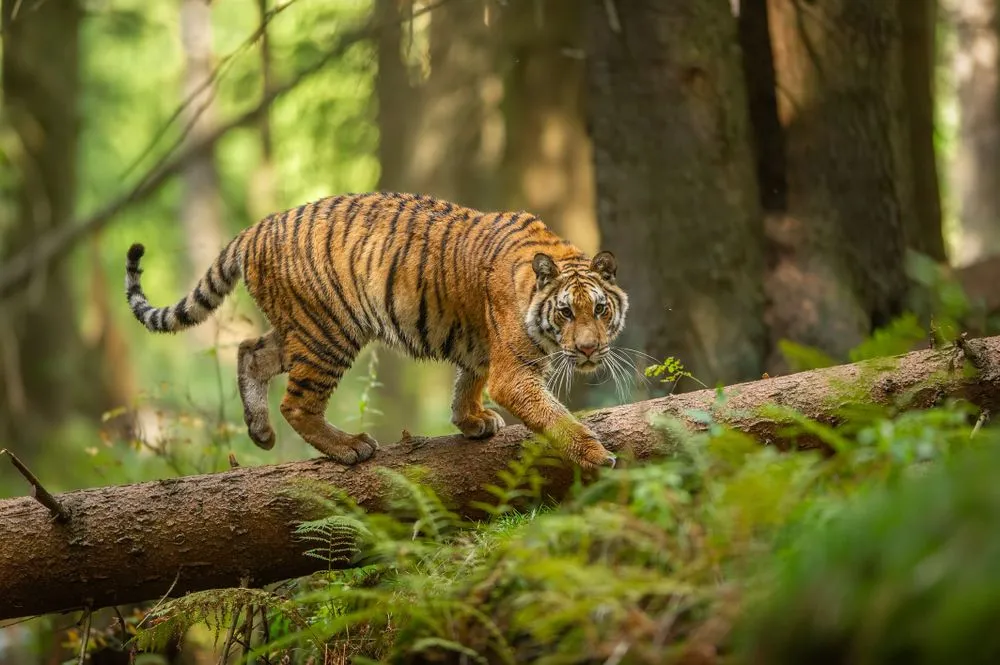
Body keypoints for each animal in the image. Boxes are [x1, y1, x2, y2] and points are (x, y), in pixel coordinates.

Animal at [124, 192, 629, 469]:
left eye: (600, 310)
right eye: (566, 313)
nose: (588, 351)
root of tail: (257, 228)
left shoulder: (480, 345)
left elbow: (469, 378)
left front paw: (471, 420)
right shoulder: (513, 369)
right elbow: (553, 414)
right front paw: (595, 455)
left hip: (299, 329)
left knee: (250, 350)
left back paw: (260, 432)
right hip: (328, 331)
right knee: (296, 402)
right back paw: (348, 447)